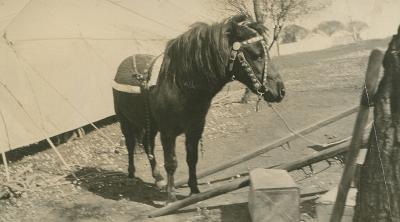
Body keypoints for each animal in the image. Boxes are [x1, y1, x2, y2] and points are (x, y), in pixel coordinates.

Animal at [112, 14, 286, 203]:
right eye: (257, 55)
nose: (280, 91)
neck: (179, 84)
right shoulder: (168, 132)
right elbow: (171, 163)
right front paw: (171, 197)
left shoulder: (195, 129)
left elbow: (192, 158)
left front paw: (194, 191)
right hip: (125, 121)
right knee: (130, 145)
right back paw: (131, 175)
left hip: (149, 124)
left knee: (147, 144)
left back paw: (158, 178)